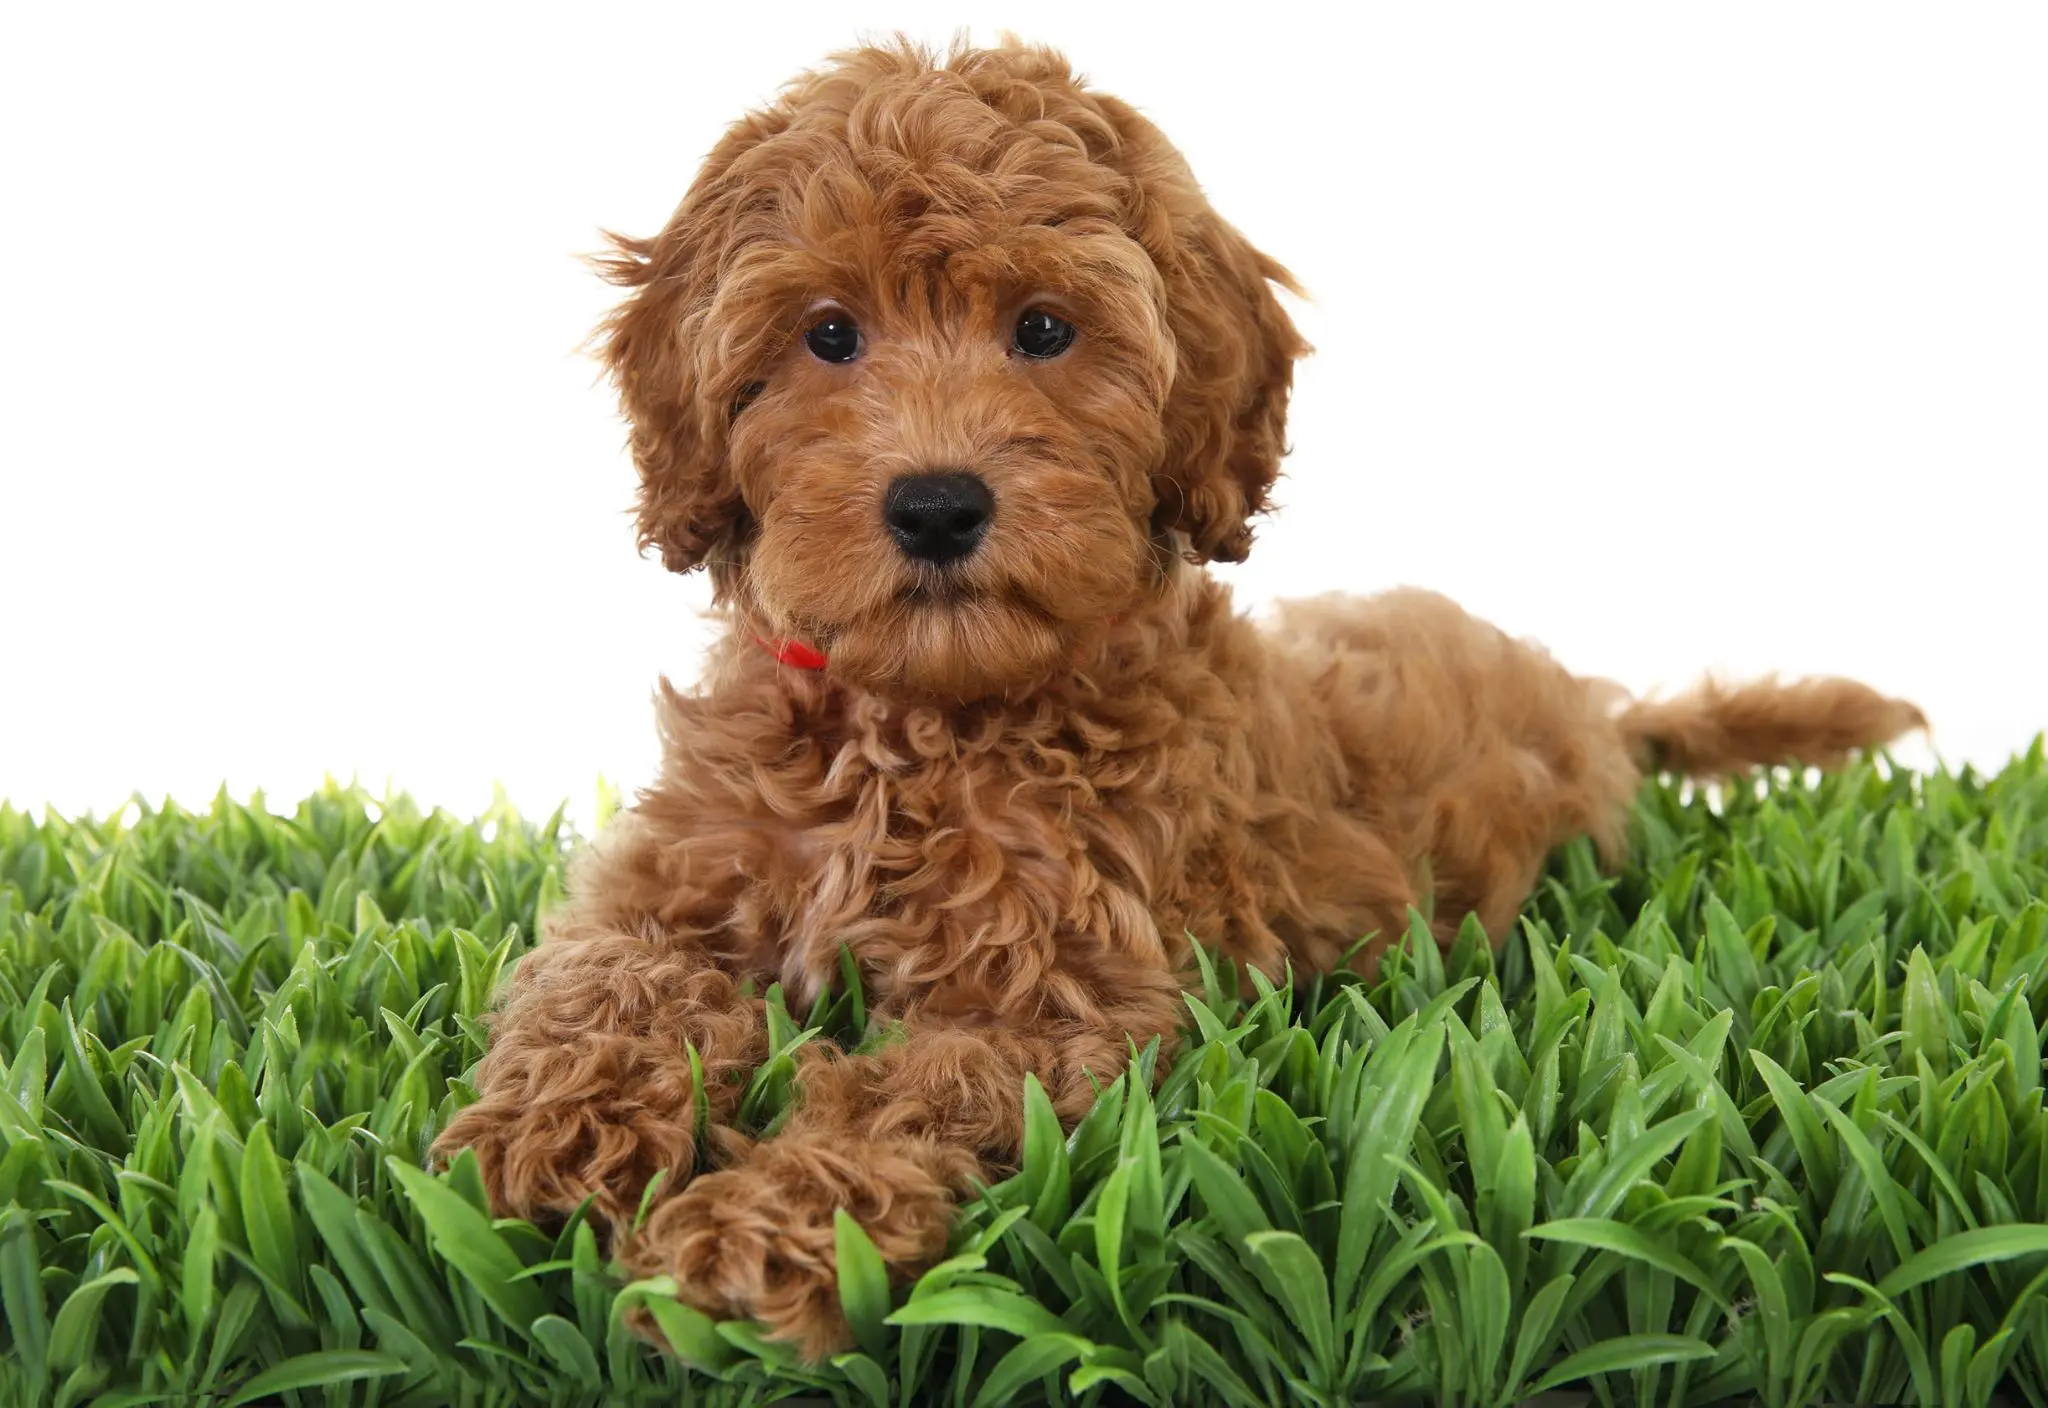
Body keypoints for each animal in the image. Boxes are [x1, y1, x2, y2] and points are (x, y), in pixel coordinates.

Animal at [432, 38, 1916, 1358]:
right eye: (828, 335)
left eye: (1043, 329)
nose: (935, 504)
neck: (920, 714)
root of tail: (1591, 707)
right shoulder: (670, 876)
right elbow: (601, 977)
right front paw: (551, 1138)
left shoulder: (1070, 1007)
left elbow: (903, 1094)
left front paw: (750, 1240)